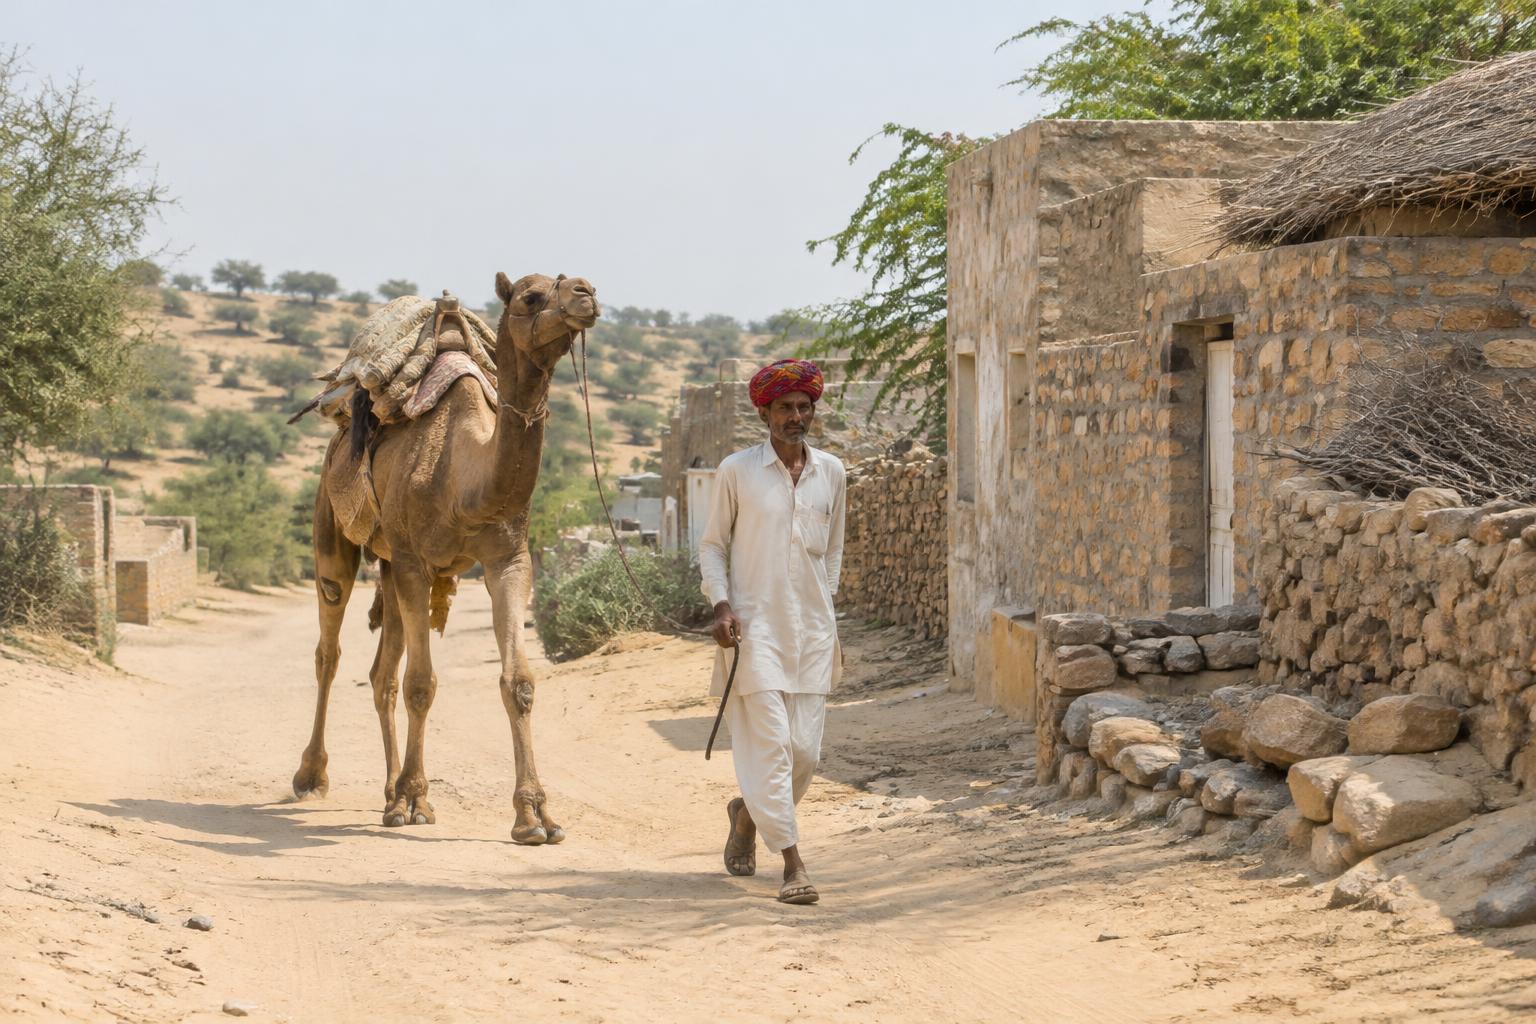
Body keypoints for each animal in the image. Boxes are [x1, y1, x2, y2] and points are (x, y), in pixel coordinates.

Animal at [291, 272, 598, 845]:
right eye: (531, 296)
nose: (586, 293)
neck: (464, 481)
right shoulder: (417, 560)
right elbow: (422, 683)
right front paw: (416, 801)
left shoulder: (508, 561)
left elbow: (518, 683)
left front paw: (535, 817)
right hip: (333, 528)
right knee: (330, 648)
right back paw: (312, 777)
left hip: (388, 564)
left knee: (380, 675)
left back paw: (387, 791)